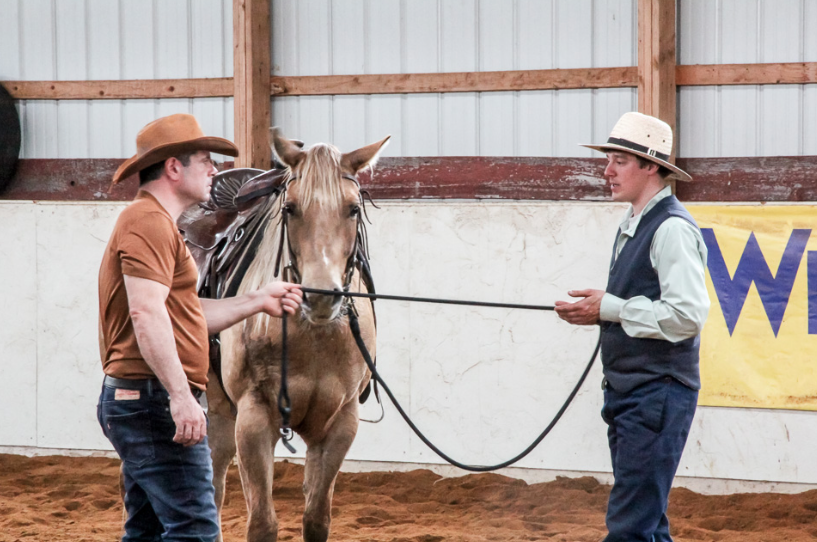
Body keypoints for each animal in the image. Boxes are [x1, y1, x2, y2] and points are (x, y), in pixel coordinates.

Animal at [206, 129, 388, 542]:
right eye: (290, 208)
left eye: (353, 209)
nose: (319, 296)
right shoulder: (254, 419)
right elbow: (262, 524)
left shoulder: (340, 424)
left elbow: (316, 517)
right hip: (218, 408)